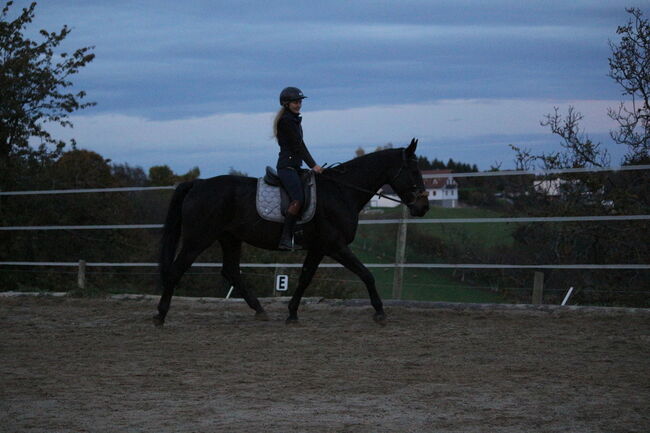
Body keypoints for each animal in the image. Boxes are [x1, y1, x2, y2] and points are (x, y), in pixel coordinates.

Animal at [151, 138, 426, 324]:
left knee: (231, 272)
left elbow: (305, 278)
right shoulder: (335, 245)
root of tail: (198, 184)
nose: (423, 206)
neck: (341, 191)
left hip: (230, 238)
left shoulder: (319, 248)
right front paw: (379, 311)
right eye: (414, 171)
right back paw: (161, 315)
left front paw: (292, 312)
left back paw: (259, 310)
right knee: (177, 270)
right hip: (198, 238)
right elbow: (366, 274)